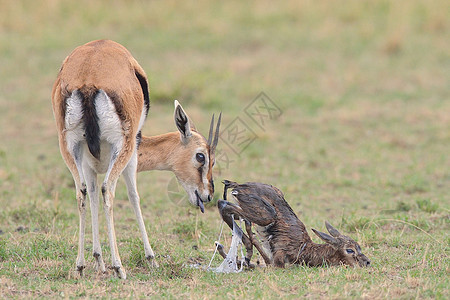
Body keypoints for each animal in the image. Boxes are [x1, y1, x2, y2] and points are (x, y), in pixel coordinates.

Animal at [217, 180, 370, 268]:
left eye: (359, 246)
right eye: (350, 250)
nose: (367, 262)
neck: (304, 248)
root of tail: (239, 185)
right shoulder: (278, 261)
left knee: (226, 206)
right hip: (266, 216)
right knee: (223, 205)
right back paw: (246, 252)